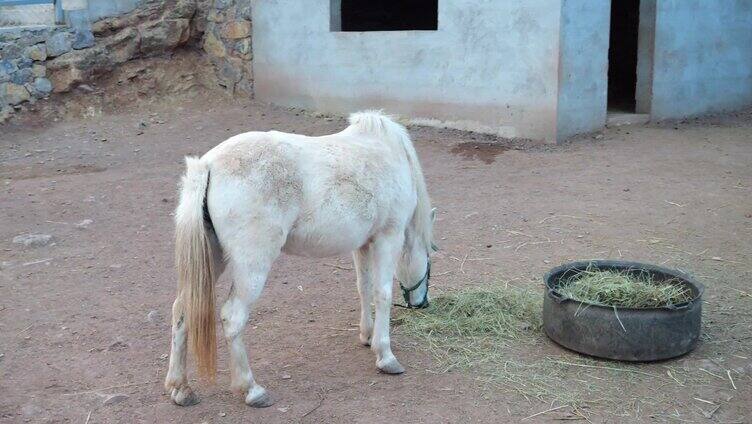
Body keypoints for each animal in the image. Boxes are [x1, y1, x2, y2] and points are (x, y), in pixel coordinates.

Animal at [164, 110, 434, 408]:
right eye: (430, 256)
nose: (422, 303)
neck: (386, 151)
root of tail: (207, 166)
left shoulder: (362, 244)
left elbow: (363, 289)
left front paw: (367, 335)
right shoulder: (389, 237)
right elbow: (382, 294)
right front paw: (385, 355)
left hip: (212, 260)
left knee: (182, 311)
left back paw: (181, 388)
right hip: (251, 267)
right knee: (233, 318)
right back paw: (251, 390)